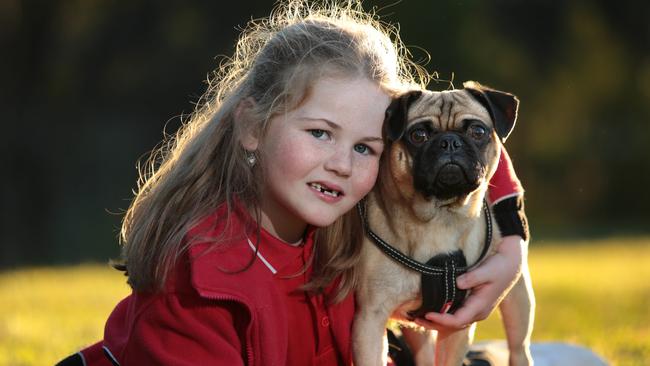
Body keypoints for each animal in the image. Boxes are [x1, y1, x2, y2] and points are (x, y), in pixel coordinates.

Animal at [354, 83, 532, 366]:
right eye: (418, 135)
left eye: (478, 131)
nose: (449, 142)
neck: (441, 218)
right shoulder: (370, 319)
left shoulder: (457, 323)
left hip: (518, 299)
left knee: (519, 348)